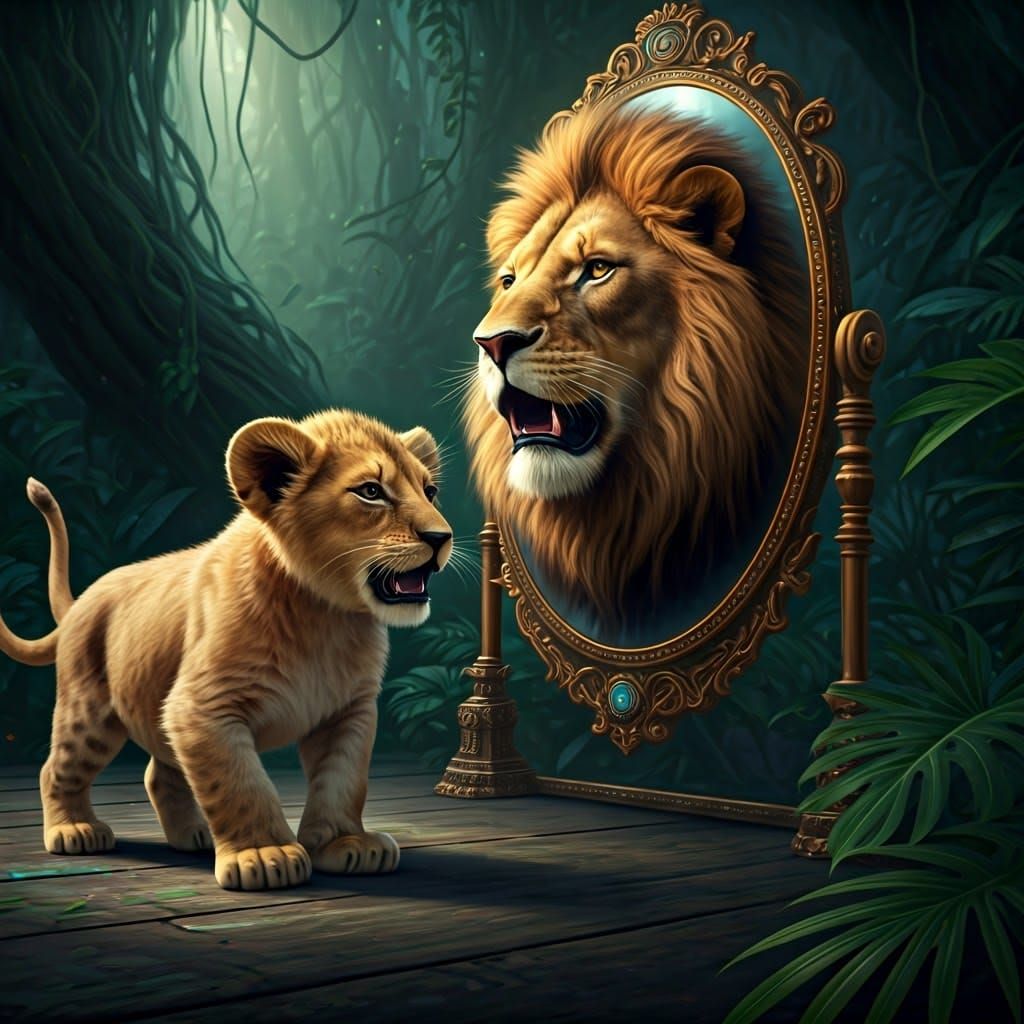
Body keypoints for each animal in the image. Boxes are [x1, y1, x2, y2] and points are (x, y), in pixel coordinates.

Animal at [0, 409, 452, 891]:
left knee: (159, 773)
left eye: (430, 491)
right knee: (58, 767)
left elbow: (343, 780)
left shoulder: (349, 711)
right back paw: (74, 830)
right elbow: (241, 783)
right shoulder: (202, 708)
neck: (325, 615)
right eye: (370, 492)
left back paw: (193, 834)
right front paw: (266, 854)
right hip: (89, 711)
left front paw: (345, 844)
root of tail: (83, 599)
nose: (442, 536)